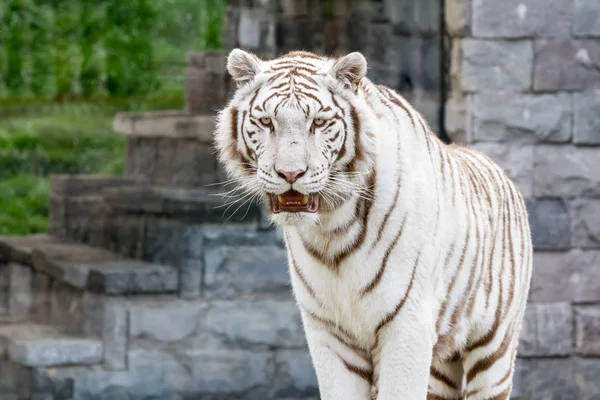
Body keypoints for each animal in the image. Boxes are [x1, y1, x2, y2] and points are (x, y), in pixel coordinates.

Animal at [213, 47, 532, 400]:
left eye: (318, 122)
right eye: (266, 121)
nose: (290, 174)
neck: (331, 229)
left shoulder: (408, 325)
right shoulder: (328, 331)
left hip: (494, 350)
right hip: (441, 367)